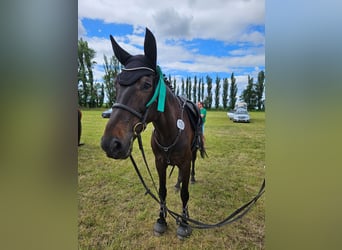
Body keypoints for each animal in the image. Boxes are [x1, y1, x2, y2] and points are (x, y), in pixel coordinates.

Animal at [101, 27, 206, 238]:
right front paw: (161, 220)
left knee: (191, 168)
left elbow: (185, 194)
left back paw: (191, 179)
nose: (111, 144)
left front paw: (184, 223)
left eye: (147, 85)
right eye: (115, 84)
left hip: (192, 154)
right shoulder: (160, 163)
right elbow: (162, 191)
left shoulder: (184, 162)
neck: (170, 131)